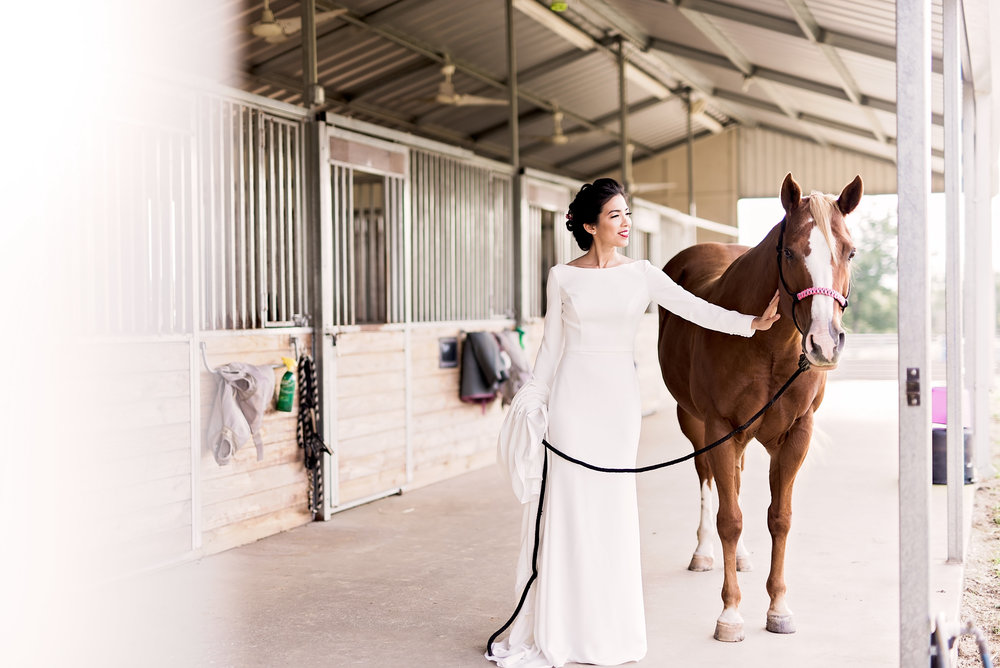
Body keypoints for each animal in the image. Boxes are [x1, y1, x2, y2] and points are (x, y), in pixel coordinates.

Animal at [656, 172, 860, 640]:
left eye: (850, 251)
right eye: (788, 251)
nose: (824, 344)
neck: (769, 346)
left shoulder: (796, 433)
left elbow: (778, 517)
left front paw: (779, 608)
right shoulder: (718, 427)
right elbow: (728, 518)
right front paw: (730, 614)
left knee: (734, 479)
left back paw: (744, 557)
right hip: (695, 423)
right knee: (709, 483)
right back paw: (703, 553)